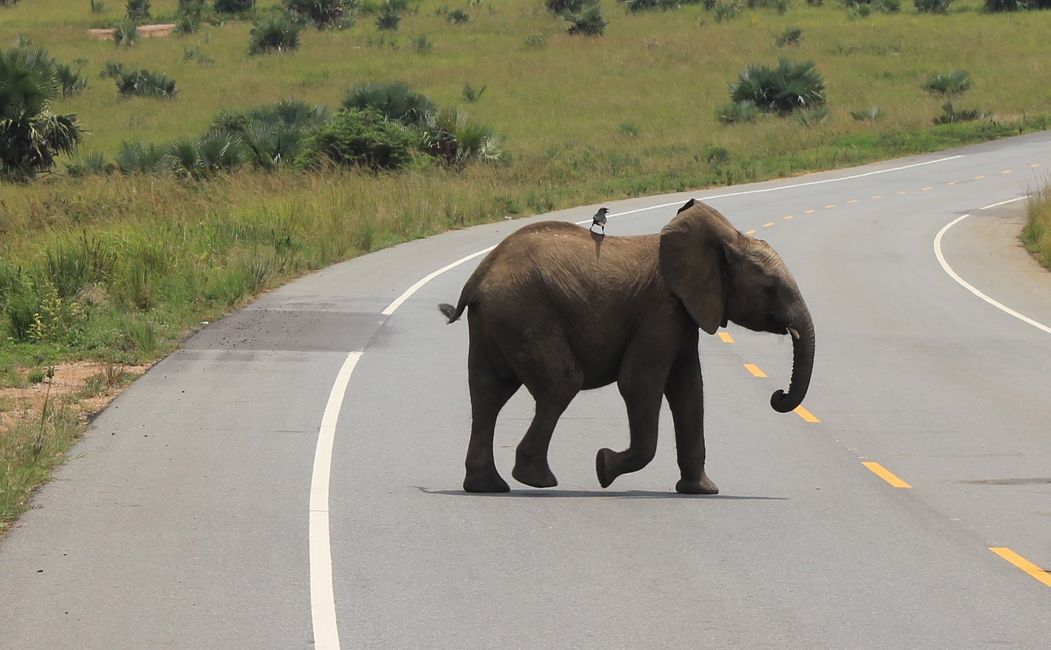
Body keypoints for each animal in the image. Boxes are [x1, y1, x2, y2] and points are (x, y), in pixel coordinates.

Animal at [439, 197, 815, 490]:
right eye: (769, 287)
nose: (778, 396)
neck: (728, 240)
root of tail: (479, 277)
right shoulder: (661, 309)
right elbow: (640, 384)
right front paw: (604, 467)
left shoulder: (681, 313)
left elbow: (689, 389)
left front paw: (702, 490)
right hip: (526, 316)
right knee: (561, 383)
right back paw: (537, 481)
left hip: (498, 320)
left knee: (488, 394)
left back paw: (488, 486)